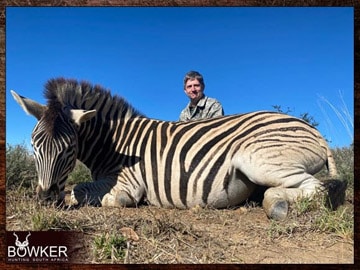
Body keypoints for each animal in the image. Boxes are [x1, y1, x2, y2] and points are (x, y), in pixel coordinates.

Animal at [12, 77, 348, 219]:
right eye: (34, 145)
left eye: (69, 148)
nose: (44, 198)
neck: (114, 143)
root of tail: (315, 132)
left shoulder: (128, 184)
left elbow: (87, 192)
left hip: (258, 159)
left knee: (315, 188)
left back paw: (275, 203)